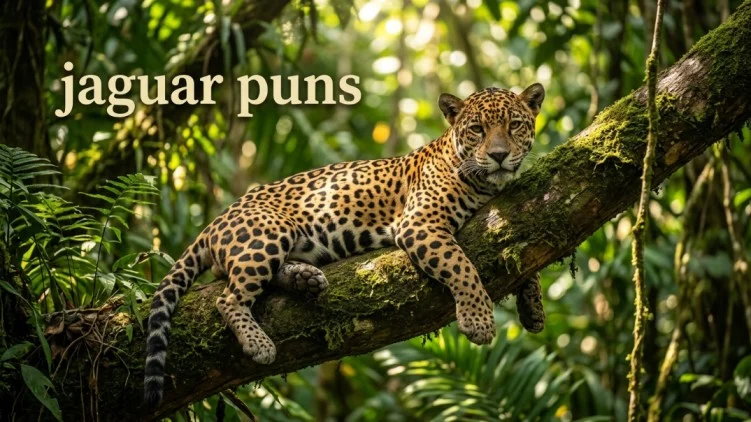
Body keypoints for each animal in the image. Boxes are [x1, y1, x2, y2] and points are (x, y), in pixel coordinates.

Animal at [144, 84, 547, 405]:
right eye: (477, 130)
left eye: (514, 125)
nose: (498, 155)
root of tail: (216, 220)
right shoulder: (420, 223)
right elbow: (462, 267)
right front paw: (478, 321)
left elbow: (526, 258)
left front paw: (533, 309)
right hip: (268, 231)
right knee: (228, 296)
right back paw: (259, 343)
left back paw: (304, 278)